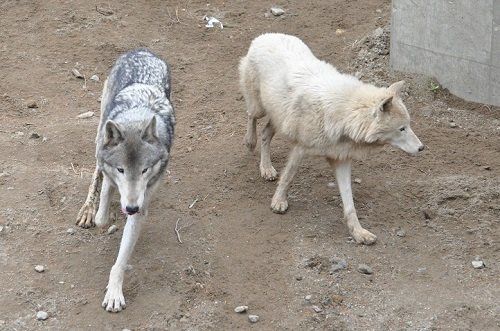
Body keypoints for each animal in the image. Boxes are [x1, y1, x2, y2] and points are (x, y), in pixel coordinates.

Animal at [75, 48, 175, 312]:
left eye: (145, 170)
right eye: (121, 169)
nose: (130, 208)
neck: (136, 116)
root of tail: (143, 50)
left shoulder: (142, 202)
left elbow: (120, 261)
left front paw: (114, 293)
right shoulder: (111, 172)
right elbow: (103, 211)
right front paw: (102, 212)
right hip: (99, 131)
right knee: (96, 172)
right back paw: (88, 210)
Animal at [238, 33, 422, 246]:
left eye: (408, 125)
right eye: (402, 129)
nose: (422, 148)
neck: (345, 116)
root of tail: (265, 35)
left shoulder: (341, 160)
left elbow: (349, 203)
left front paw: (358, 232)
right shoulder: (301, 149)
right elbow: (288, 177)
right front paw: (278, 201)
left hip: (279, 117)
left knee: (265, 133)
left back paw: (266, 168)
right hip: (259, 107)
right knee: (251, 117)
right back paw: (250, 143)